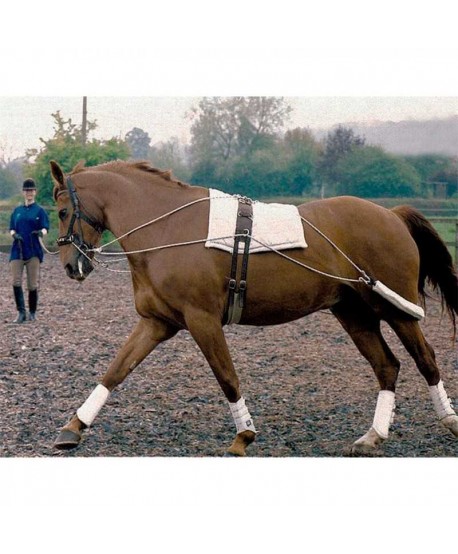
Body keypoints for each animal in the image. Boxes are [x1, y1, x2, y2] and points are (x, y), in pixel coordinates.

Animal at [50, 158, 458, 452]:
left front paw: (243, 436)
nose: (70, 266)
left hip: (395, 309)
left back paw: (448, 419)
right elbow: (115, 371)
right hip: (354, 313)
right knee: (387, 366)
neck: (167, 229)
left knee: (426, 359)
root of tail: (391, 215)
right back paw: (373, 436)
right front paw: (74, 427)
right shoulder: (157, 322)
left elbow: (227, 377)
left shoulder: (202, 320)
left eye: (61, 211)